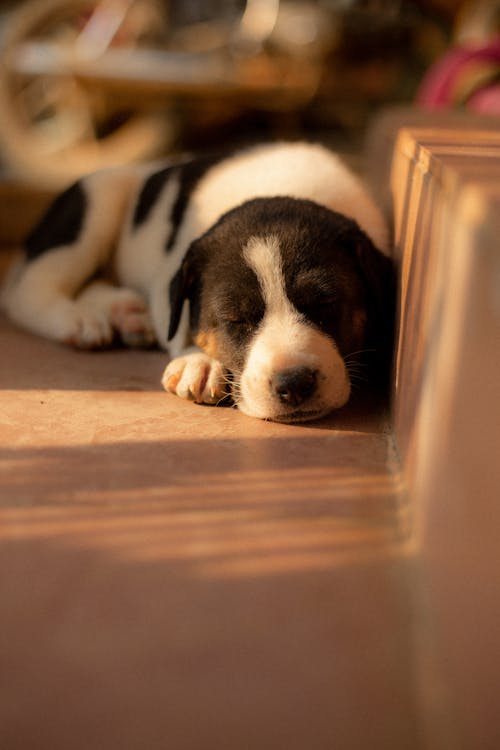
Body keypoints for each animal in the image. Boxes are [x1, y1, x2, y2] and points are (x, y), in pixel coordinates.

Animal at [1, 142, 392, 424]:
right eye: (235, 319)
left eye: (326, 304)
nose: (294, 383)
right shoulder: (169, 275)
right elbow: (178, 324)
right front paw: (200, 363)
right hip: (97, 199)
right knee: (26, 289)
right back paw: (79, 320)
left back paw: (126, 312)